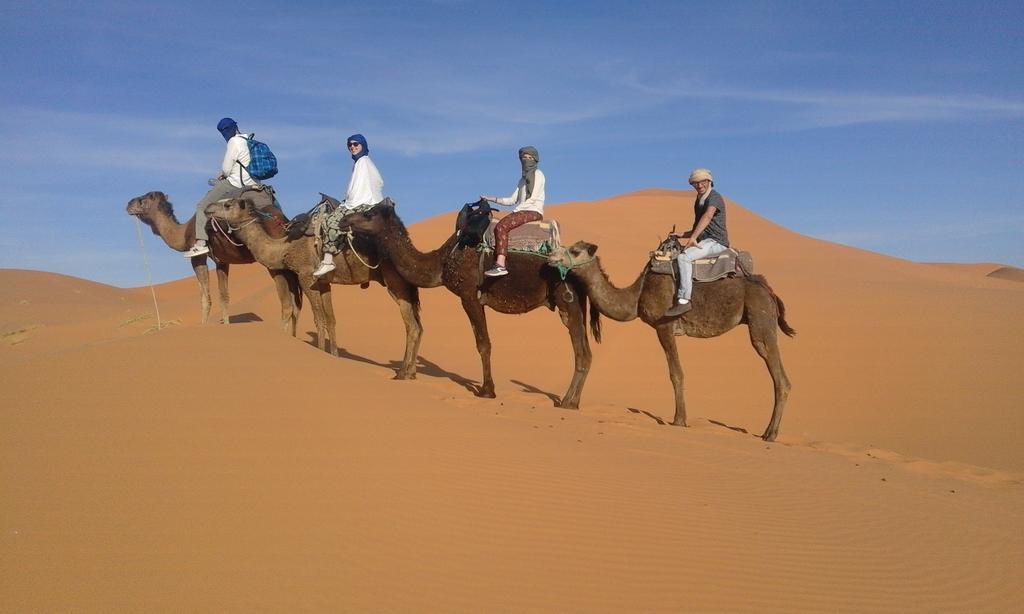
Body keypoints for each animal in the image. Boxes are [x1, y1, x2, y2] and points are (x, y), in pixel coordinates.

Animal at [124, 193, 299, 335]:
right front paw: (226, 325)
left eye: (143, 199)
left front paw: (203, 326)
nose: (128, 204)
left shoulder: (198, 258)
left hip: (273, 263)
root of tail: (284, 222)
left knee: (287, 304)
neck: (184, 233)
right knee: (296, 305)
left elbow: (205, 298)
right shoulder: (222, 261)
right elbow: (224, 297)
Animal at [205, 197, 421, 378]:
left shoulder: (306, 277)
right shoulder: (323, 283)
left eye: (227, 205)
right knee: (418, 325)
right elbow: (331, 320)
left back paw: (403, 373)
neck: (285, 248)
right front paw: (334, 356)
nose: (208, 209)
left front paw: (321, 353)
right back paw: (410, 372)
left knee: (411, 325)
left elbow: (319, 320)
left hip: (395, 281)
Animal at [335, 203, 598, 409]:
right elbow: (484, 342)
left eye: (368, 213)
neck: (442, 262)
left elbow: (483, 343)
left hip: (567, 300)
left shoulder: (468, 294)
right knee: (585, 351)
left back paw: (567, 402)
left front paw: (487, 391)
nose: (343, 220)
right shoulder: (474, 297)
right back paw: (572, 401)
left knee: (582, 352)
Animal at [548, 239, 794, 442]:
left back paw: (770, 434)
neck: (637, 295)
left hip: (760, 318)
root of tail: (770, 291)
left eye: (575, 250)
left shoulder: (664, 326)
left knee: (778, 374)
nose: (551, 256)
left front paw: (679, 420)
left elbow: (676, 373)